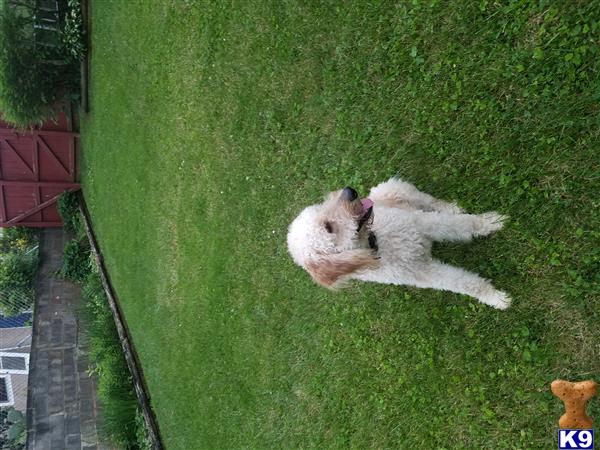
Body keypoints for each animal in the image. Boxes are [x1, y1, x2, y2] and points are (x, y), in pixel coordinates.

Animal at [286, 178, 510, 310]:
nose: (349, 191)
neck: (375, 242)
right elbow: (462, 283)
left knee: (429, 201)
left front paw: (489, 223)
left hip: (399, 189)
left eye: (321, 206)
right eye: (328, 227)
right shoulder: (423, 273)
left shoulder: (424, 224)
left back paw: (451, 207)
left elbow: (461, 224)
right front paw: (495, 298)